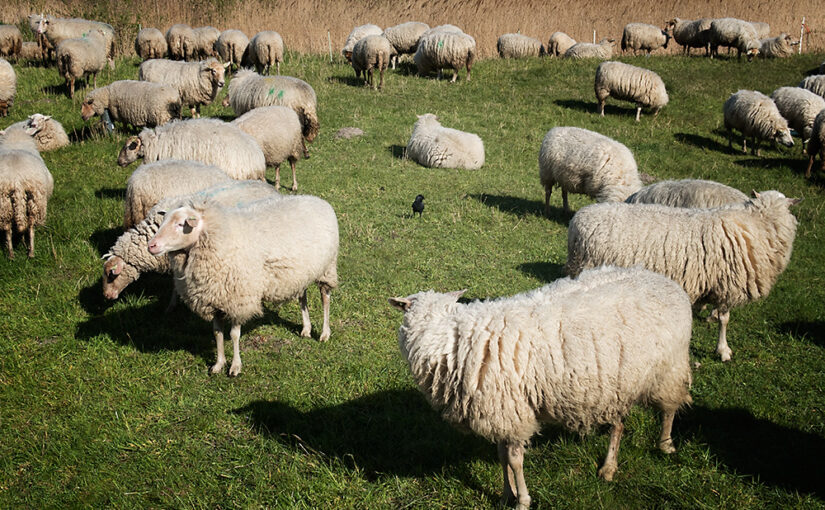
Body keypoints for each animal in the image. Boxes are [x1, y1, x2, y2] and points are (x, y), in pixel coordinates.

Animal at [0, 124, 54, 259]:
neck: (15, 141)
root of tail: (16, 180)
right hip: (35, 200)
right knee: (30, 226)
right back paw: (31, 252)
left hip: (4, 203)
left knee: (8, 228)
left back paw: (11, 254)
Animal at [146, 194, 339, 376]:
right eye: (163, 221)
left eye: (180, 224)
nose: (151, 245)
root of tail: (318, 200)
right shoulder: (215, 299)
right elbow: (217, 332)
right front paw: (218, 364)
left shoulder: (237, 299)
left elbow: (234, 334)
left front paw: (235, 367)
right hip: (302, 272)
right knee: (302, 295)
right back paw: (306, 328)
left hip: (327, 267)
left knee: (325, 298)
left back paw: (324, 333)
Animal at [389, 265, 693, 508]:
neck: (447, 336)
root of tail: (667, 281)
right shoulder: (502, 414)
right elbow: (501, 456)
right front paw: (505, 494)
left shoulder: (512, 411)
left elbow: (514, 460)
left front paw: (522, 500)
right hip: (617, 383)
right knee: (618, 425)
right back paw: (608, 467)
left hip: (669, 367)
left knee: (669, 407)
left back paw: (665, 444)